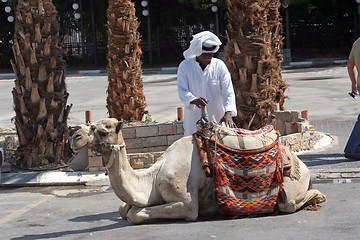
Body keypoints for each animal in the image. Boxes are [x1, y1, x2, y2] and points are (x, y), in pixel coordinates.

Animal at [70, 117, 326, 223]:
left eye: (103, 129)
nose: (75, 136)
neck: (152, 178)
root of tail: (302, 166)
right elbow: (124, 209)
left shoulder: (186, 203)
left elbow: (134, 214)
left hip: (290, 187)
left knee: (289, 202)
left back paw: (318, 197)